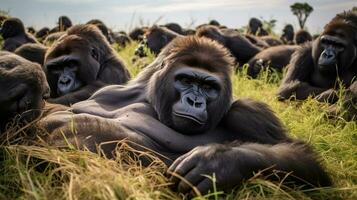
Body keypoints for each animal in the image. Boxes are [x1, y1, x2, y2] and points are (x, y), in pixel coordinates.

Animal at [0, 36, 330, 195]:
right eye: (186, 80)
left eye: (208, 87)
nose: (195, 100)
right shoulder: (111, 88)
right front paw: (22, 82)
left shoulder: (249, 113)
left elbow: (302, 158)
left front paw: (218, 163)